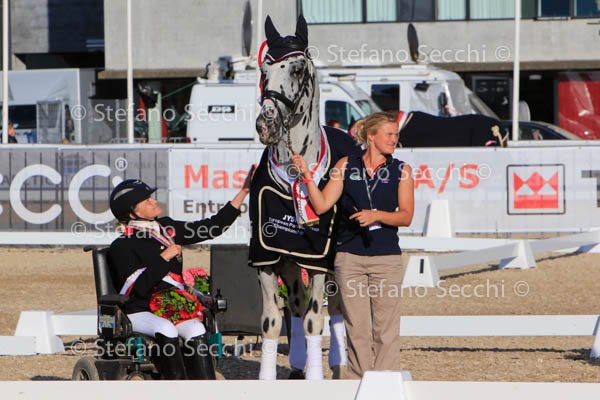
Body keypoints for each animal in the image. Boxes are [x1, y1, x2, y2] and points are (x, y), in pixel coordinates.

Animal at [250, 15, 357, 380]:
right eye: (264, 70)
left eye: (296, 69)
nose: (266, 125)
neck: (295, 178)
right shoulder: (267, 259)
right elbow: (271, 320)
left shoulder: (318, 261)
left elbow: (314, 320)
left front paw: (316, 377)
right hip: (291, 264)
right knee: (294, 305)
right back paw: (297, 365)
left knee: (335, 310)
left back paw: (338, 365)